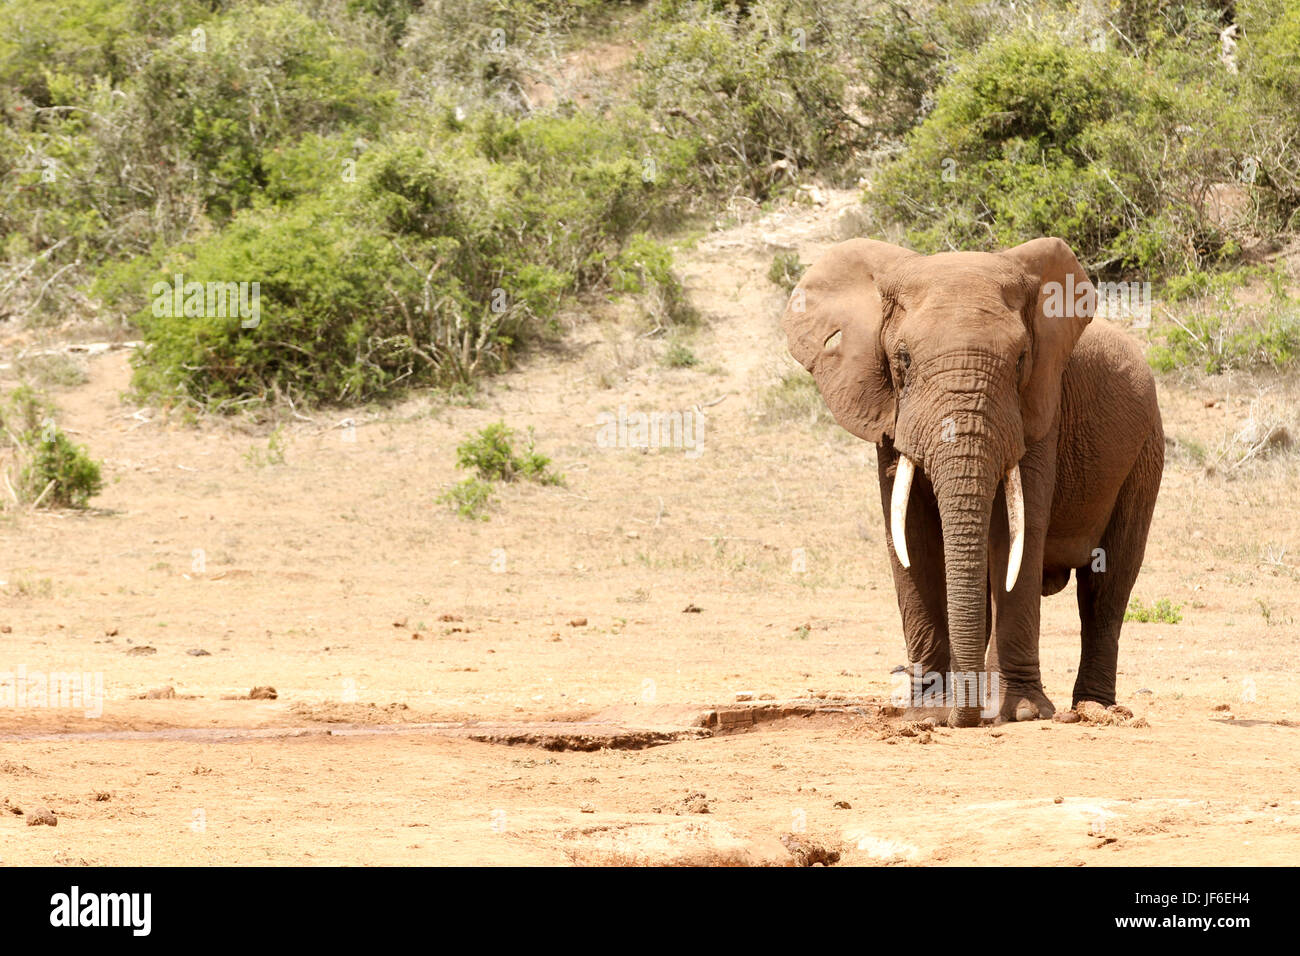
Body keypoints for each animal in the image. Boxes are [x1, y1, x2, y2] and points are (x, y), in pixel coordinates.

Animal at [774, 238, 1164, 723]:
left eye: (1020, 361)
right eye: (902, 360)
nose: (967, 716)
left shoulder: (1040, 408)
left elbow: (1015, 532)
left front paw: (1020, 713)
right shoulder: (891, 416)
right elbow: (911, 536)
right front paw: (930, 713)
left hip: (1145, 452)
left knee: (1106, 583)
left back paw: (1094, 708)